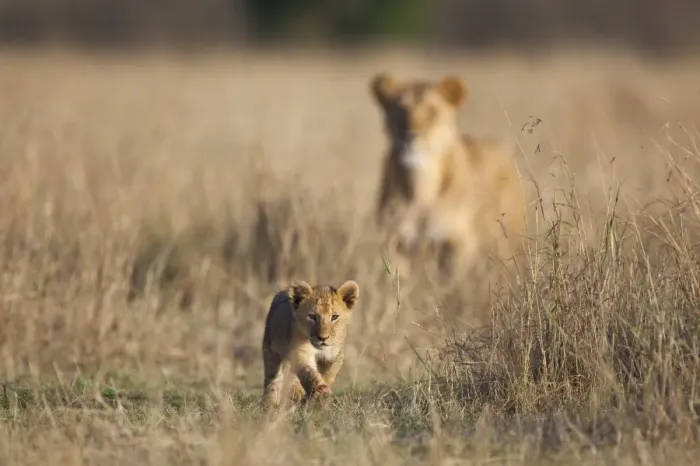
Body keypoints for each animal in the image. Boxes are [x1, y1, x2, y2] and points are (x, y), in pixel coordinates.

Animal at [261, 279, 360, 410]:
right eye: (312, 316)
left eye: (334, 317)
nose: (323, 338)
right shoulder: (299, 352)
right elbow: (309, 372)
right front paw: (320, 389)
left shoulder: (335, 356)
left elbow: (328, 375)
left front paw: (320, 401)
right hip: (272, 354)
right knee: (273, 382)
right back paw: (270, 406)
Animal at [370, 72, 527, 278]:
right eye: (400, 110)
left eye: (432, 112)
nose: (410, 136)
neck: (422, 185)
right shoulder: (393, 240)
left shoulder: (460, 242)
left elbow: (451, 279)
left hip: (508, 240)